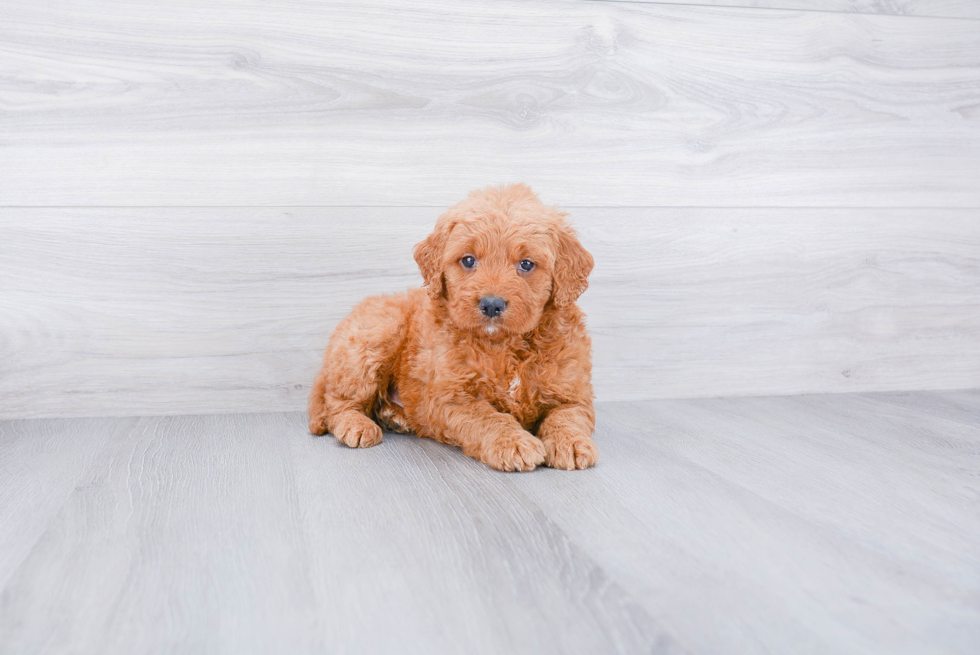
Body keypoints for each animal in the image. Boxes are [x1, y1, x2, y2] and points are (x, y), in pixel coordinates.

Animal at [306, 183, 596, 472]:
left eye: (526, 264)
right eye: (468, 260)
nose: (492, 305)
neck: (503, 345)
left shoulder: (573, 392)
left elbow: (568, 415)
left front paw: (571, 443)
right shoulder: (450, 398)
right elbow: (485, 416)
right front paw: (513, 442)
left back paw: (394, 416)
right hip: (374, 338)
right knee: (337, 402)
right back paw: (357, 424)